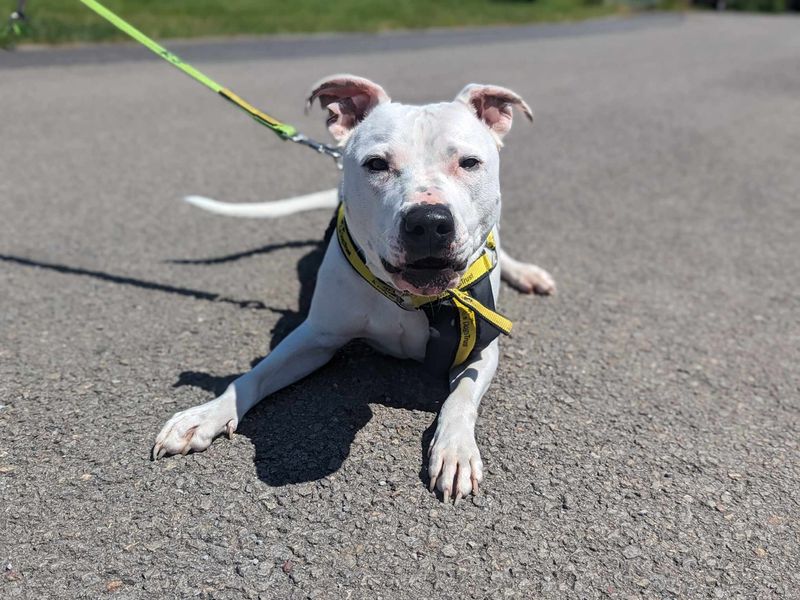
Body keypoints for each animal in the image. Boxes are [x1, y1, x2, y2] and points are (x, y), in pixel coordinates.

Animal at [156, 74, 556, 502]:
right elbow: (255, 374)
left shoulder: (481, 347)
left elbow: (460, 399)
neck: (411, 298)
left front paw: (455, 450)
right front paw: (206, 414)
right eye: (376, 164)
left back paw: (524, 272)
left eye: (469, 162)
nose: (429, 222)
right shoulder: (315, 338)